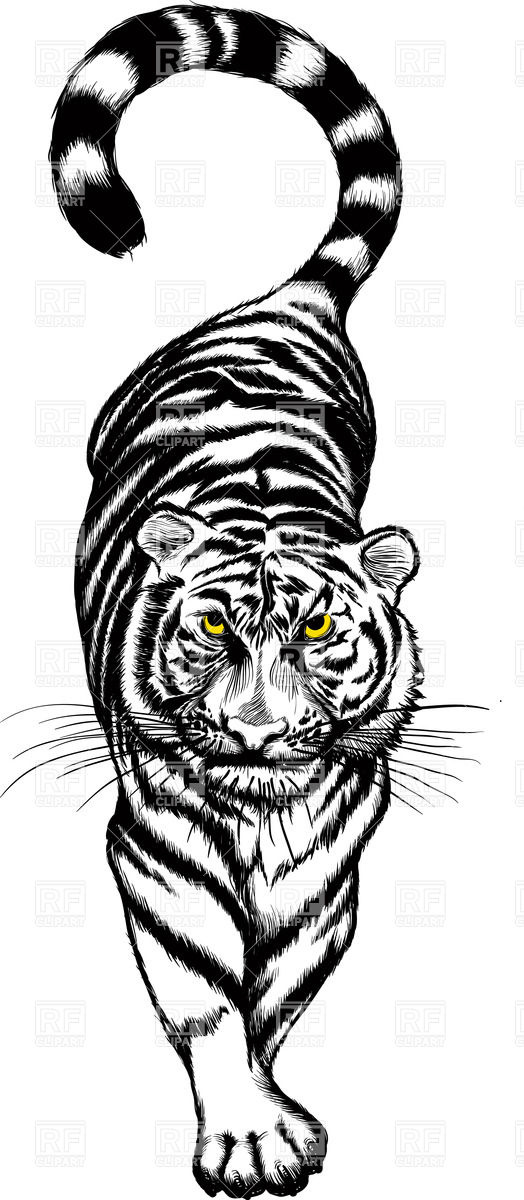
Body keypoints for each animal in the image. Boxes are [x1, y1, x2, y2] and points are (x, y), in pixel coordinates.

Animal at [49, 5, 422, 1196]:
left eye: (318, 630)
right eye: (213, 627)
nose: (257, 731)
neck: (265, 813)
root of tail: (284, 302)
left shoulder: (329, 875)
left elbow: (278, 997)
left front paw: (272, 1115)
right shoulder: (154, 857)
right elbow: (207, 1000)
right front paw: (249, 1136)